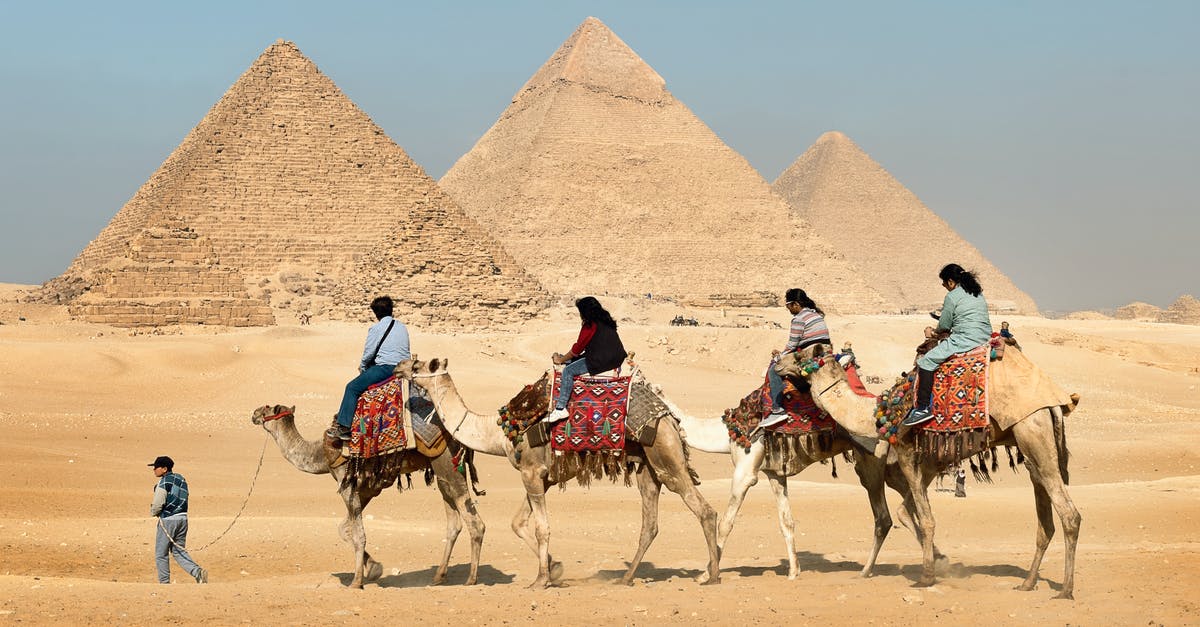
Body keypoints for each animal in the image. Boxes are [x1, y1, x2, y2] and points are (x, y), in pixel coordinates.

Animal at [250, 401, 484, 586]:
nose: (253, 413)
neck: (320, 454)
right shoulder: (368, 489)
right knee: (454, 522)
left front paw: (357, 581)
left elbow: (358, 534)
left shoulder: (346, 484)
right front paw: (373, 568)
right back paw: (439, 576)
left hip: (446, 462)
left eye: (267, 408)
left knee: (475, 522)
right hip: (441, 471)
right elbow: (344, 529)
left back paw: (471, 579)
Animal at [393, 355, 715, 586]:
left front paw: (541, 580)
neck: (499, 433)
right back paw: (626, 577)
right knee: (650, 523)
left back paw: (711, 575)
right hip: (647, 466)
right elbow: (518, 524)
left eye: (419, 364)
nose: (398, 367)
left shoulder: (532, 473)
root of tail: (669, 416)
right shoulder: (540, 477)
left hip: (666, 455)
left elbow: (542, 528)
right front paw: (554, 569)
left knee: (703, 510)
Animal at [777, 345, 1089, 595]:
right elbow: (907, 511)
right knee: (1045, 520)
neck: (879, 414)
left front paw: (927, 576)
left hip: (1031, 432)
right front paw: (938, 563)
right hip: (1031, 446)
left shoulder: (907, 453)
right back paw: (1027, 583)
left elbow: (926, 519)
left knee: (1069, 514)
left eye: (800, 354)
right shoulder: (926, 464)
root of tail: (1056, 403)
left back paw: (1065, 589)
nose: (778, 363)